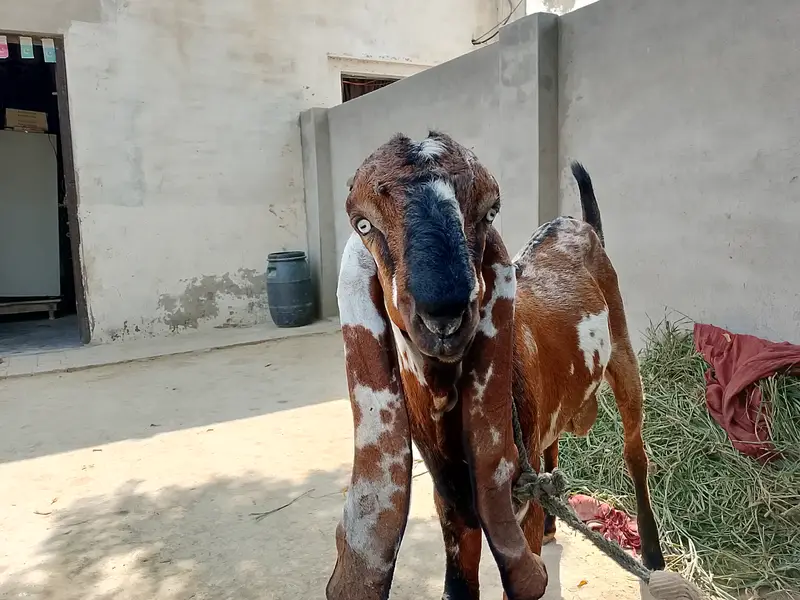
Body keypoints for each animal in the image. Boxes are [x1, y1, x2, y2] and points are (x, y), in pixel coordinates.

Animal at [326, 131, 664, 600]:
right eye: (363, 223)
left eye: (489, 212)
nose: (445, 314)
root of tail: (582, 226)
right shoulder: (450, 501)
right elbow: (458, 586)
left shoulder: (515, 501)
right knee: (552, 450)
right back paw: (554, 526)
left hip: (624, 350)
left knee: (635, 450)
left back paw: (653, 559)